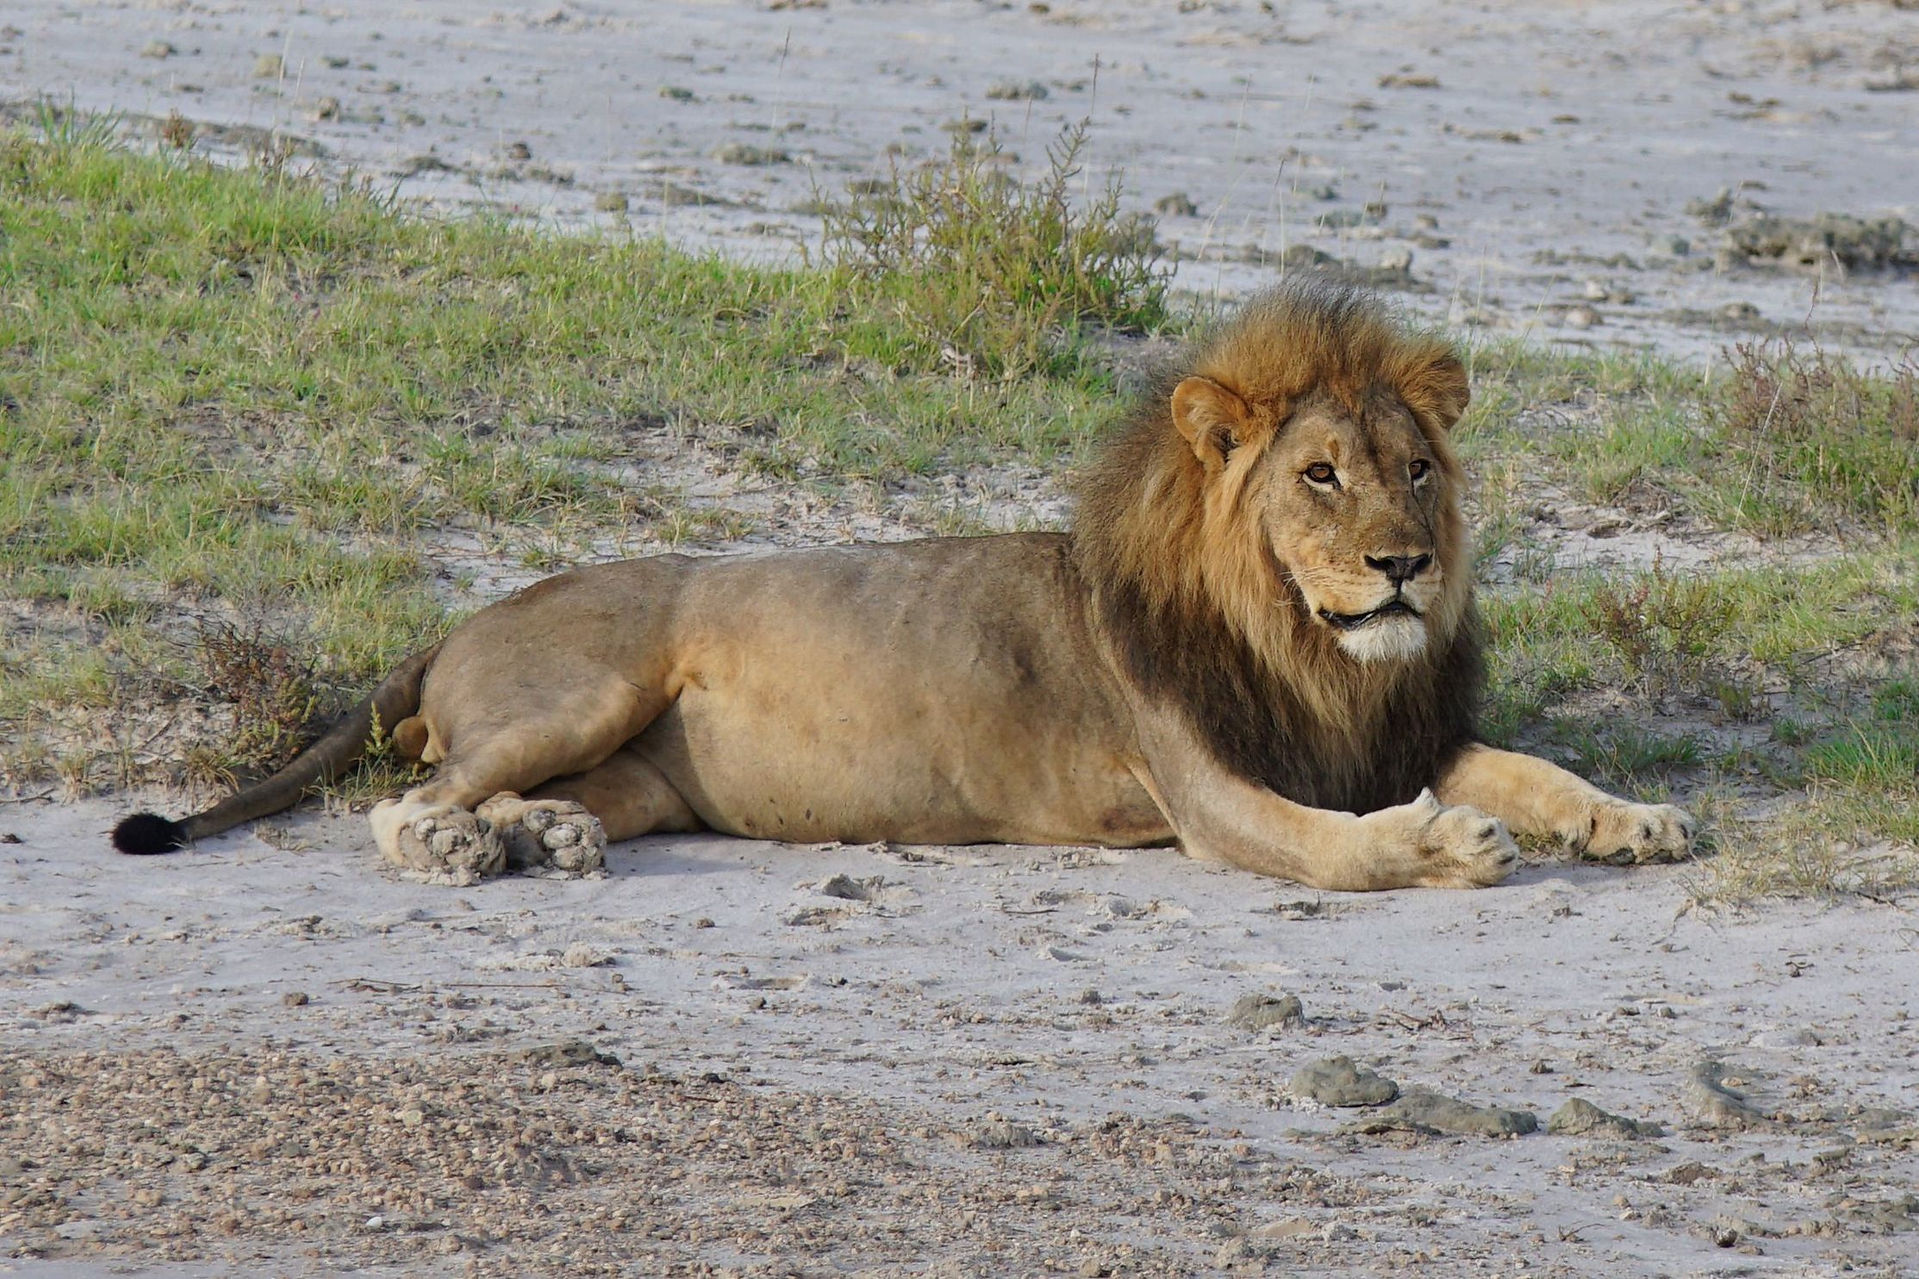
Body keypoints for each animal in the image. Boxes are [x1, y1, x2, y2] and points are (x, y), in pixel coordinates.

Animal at [112, 280, 1694, 890]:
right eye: (1317, 477)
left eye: (1413, 469)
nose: (1403, 564)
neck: (1310, 654)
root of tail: (460, 613)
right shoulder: (1211, 791)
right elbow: (1339, 846)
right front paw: (1441, 844)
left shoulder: (1389, 728)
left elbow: (1533, 766)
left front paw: (1632, 817)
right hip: (583, 685)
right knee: (407, 794)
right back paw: (461, 845)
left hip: (640, 774)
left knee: (526, 795)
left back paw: (543, 839)